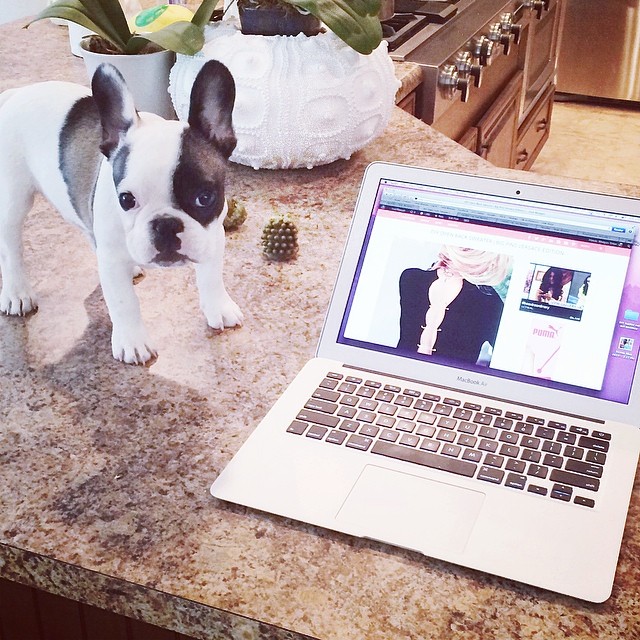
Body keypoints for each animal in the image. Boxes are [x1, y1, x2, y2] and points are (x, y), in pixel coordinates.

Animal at [0, 60, 242, 364]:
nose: (165, 224)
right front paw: (132, 342)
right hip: (13, 199)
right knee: (11, 248)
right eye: (126, 200)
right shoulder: (113, 261)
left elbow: (211, 277)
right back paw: (17, 293)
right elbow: (124, 302)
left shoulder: (212, 237)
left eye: (204, 198)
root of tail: (16, 94)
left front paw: (219, 307)